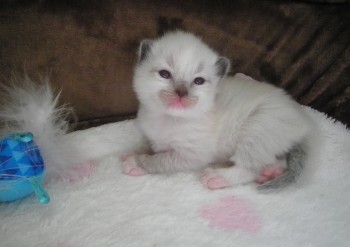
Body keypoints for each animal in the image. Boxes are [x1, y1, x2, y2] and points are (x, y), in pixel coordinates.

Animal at [121, 30, 314, 189]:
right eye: (164, 74)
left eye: (198, 81)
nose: (182, 93)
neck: (168, 118)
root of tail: (304, 121)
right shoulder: (151, 137)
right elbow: (150, 146)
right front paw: (135, 152)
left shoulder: (191, 155)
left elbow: (159, 160)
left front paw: (135, 162)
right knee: (276, 160)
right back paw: (270, 173)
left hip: (257, 130)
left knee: (251, 168)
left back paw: (218, 177)